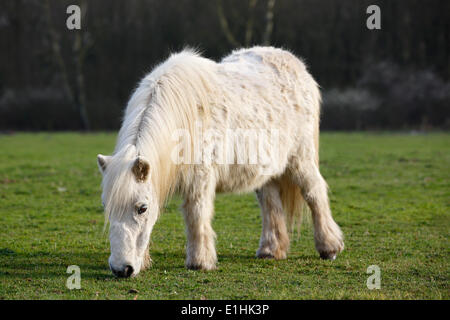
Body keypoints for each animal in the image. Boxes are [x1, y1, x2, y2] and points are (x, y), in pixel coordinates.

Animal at [96, 47, 344, 278]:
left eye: (142, 208)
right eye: (106, 206)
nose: (121, 269)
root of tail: (297, 66)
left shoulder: (200, 180)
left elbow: (196, 215)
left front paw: (200, 262)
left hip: (300, 159)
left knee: (314, 193)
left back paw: (329, 247)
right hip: (267, 172)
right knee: (270, 203)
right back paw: (271, 250)